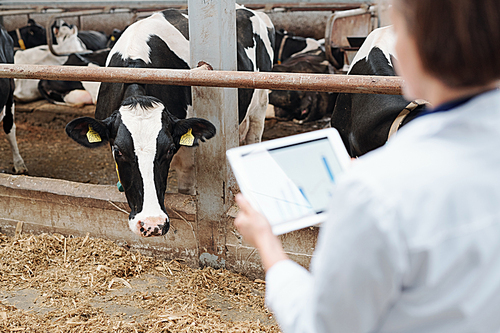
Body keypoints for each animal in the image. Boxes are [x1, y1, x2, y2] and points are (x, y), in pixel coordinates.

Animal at [65, 6, 274, 237]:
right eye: (118, 151)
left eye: (170, 149)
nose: (152, 224)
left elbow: (186, 189)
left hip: (260, 101)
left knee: (254, 137)